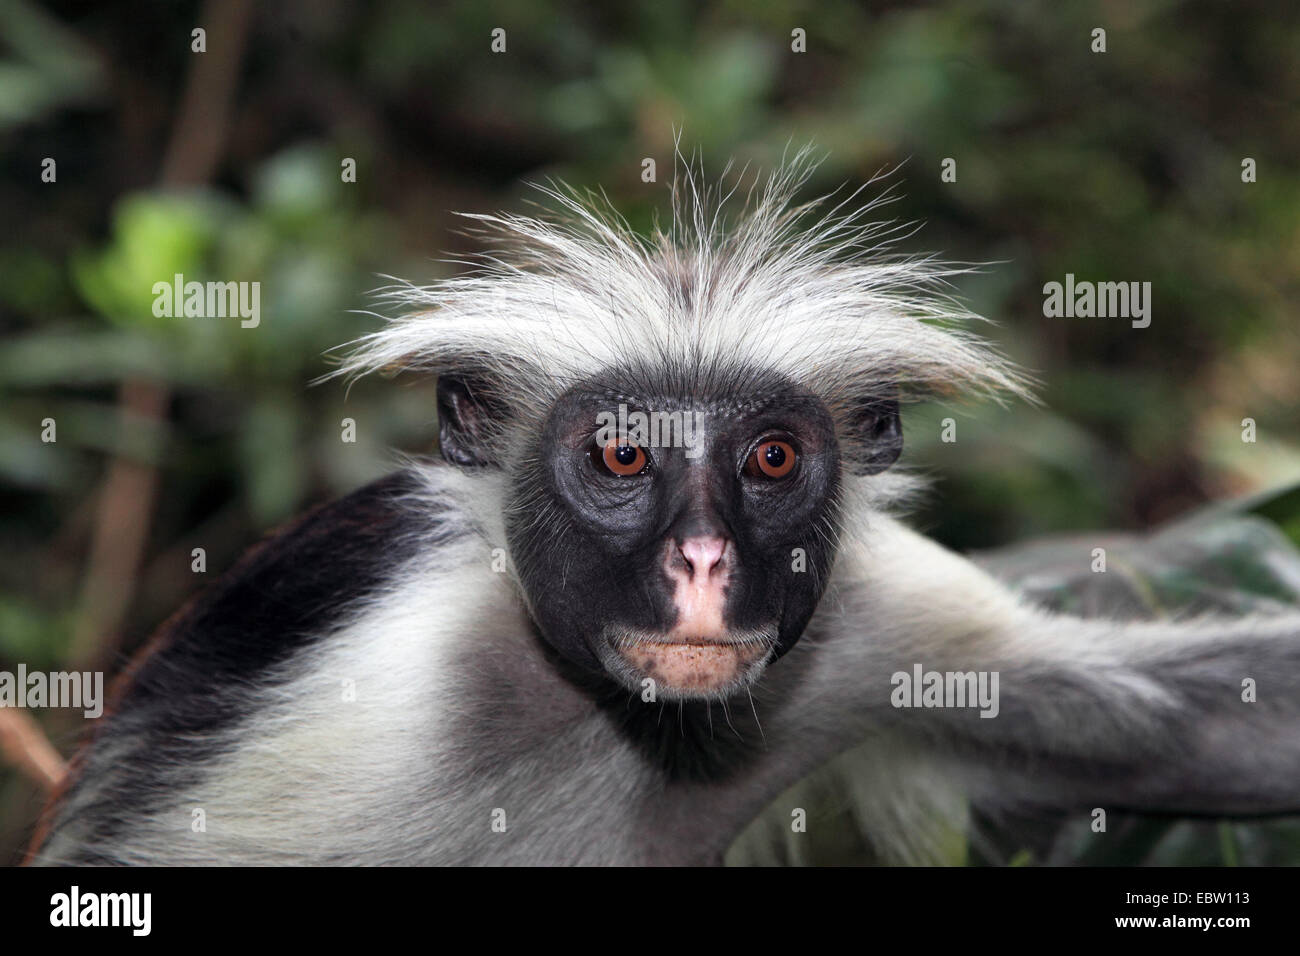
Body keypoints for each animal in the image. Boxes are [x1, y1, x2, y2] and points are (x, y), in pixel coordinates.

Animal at [27, 155, 1300, 868]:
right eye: (622, 453)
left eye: (772, 457)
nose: (700, 562)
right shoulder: (372, 705)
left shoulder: (872, 618)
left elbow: (1205, 726)